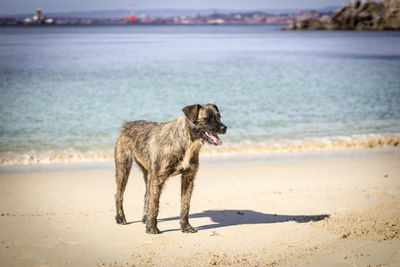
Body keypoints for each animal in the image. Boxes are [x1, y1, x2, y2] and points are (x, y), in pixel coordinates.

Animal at [114, 104, 227, 234]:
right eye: (207, 118)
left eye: (219, 117)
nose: (224, 128)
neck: (186, 140)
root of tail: (127, 124)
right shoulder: (158, 179)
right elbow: (154, 205)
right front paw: (151, 227)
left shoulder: (188, 178)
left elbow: (185, 205)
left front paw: (185, 226)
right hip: (123, 168)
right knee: (119, 194)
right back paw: (120, 217)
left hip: (148, 174)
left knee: (147, 195)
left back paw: (145, 218)